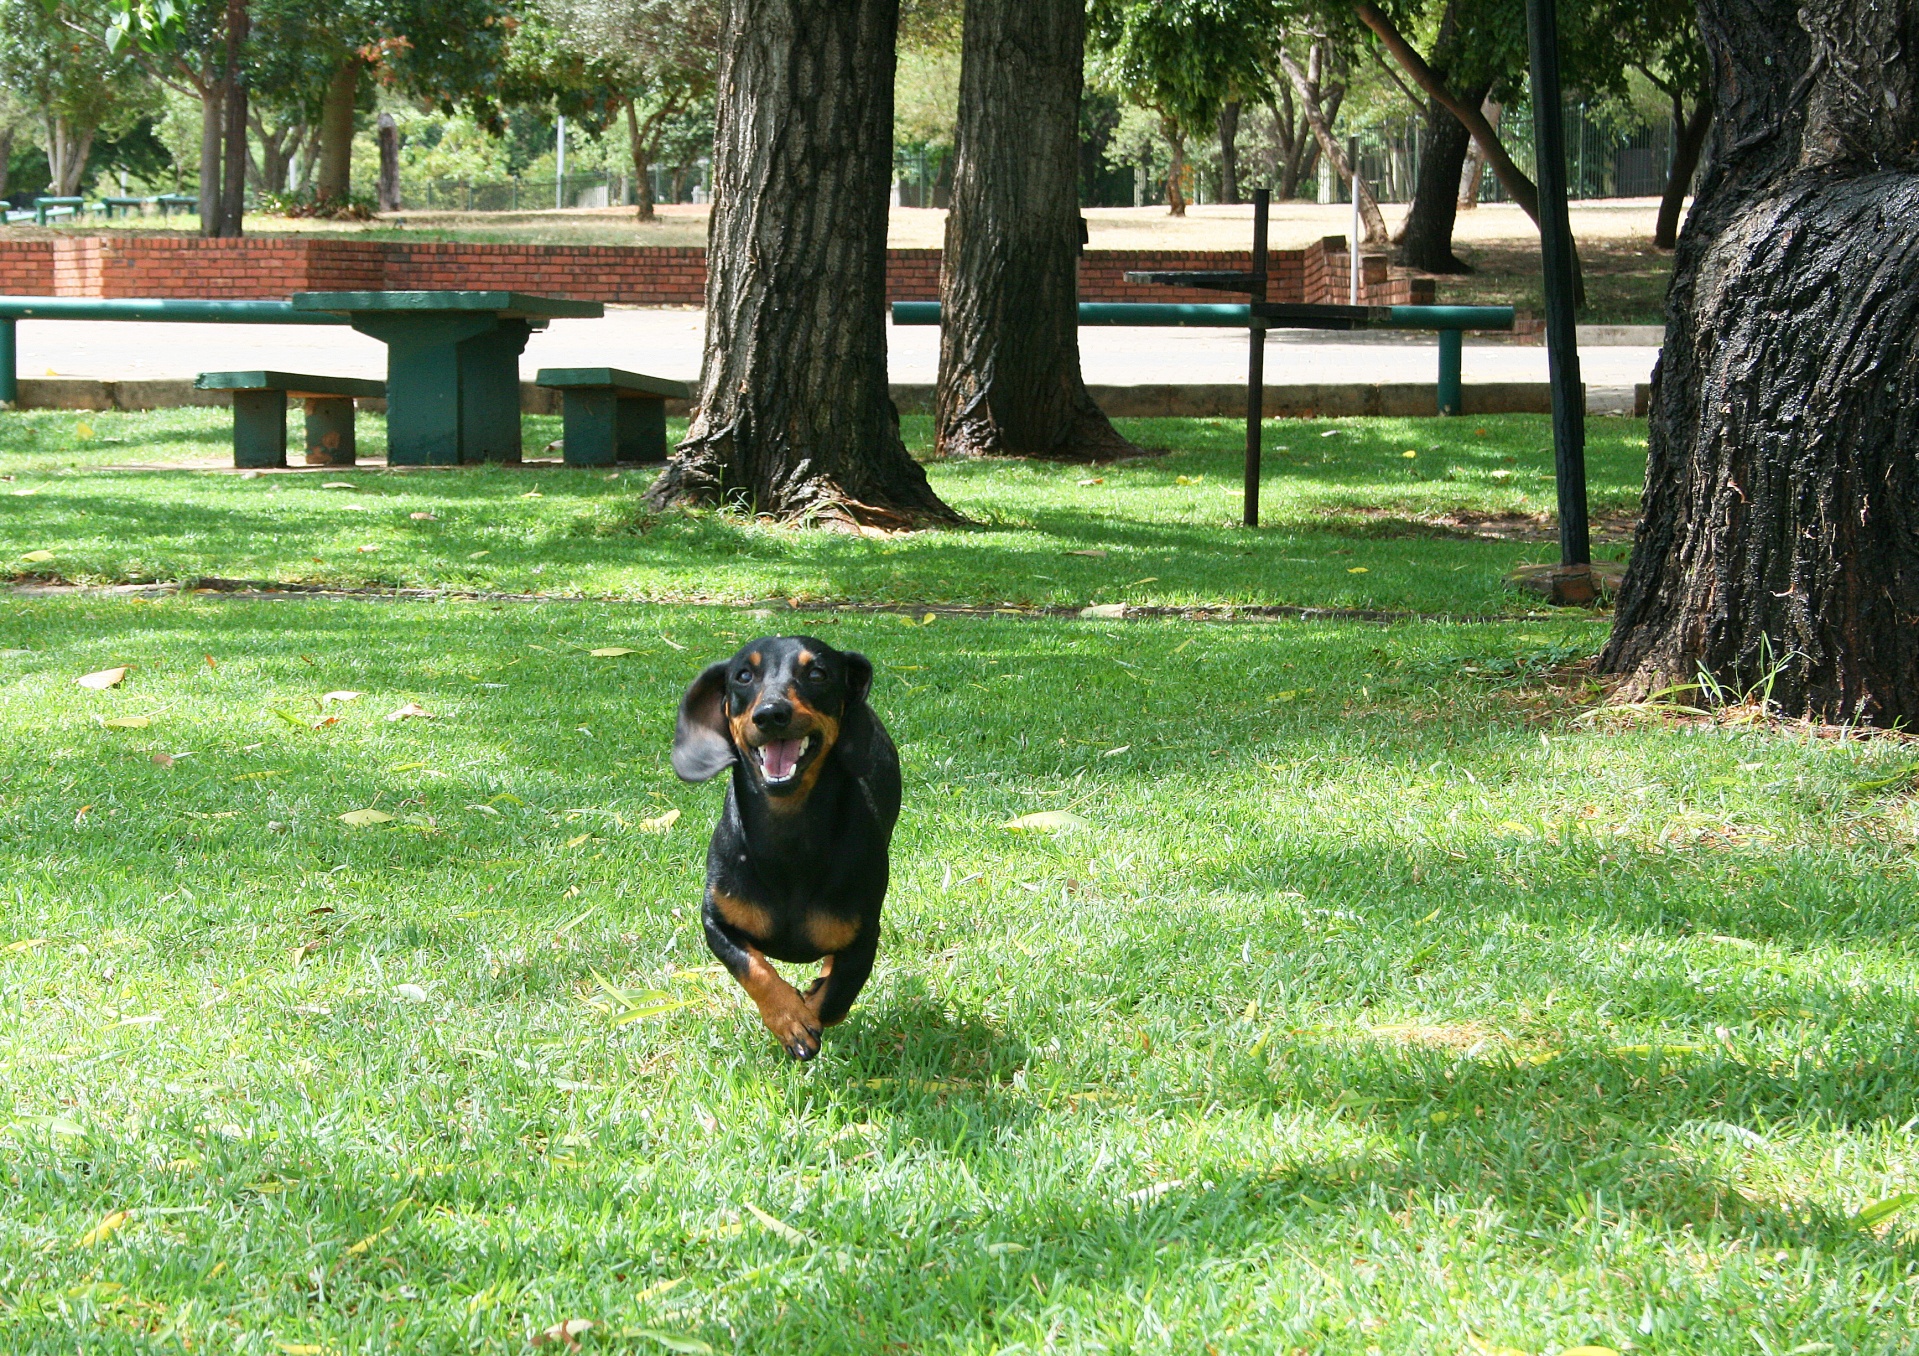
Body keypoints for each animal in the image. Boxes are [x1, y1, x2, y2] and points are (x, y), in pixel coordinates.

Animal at [671, 636, 901, 1058]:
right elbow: (752, 967)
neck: (787, 843)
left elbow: (837, 998)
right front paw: (789, 1018)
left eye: (818, 673)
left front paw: (808, 1008)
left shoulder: (864, 938)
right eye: (743, 675)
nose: (771, 714)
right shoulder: (716, 921)